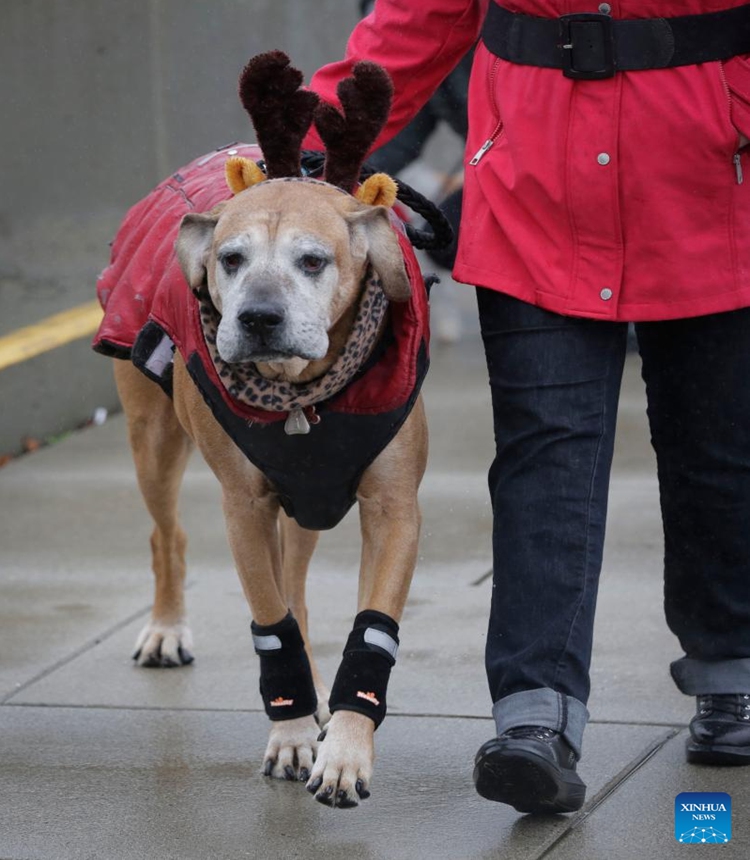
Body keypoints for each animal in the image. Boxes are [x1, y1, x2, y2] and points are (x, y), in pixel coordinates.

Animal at [108, 52, 432, 808]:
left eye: (313, 260)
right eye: (230, 259)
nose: (256, 317)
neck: (301, 393)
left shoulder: (393, 509)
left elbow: (369, 631)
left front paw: (344, 748)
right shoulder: (246, 510)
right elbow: (271, 622)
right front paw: (288, 735)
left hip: (306, 505)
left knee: (300, 585)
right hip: (152, 441)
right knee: (167, 534)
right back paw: (166, 627)